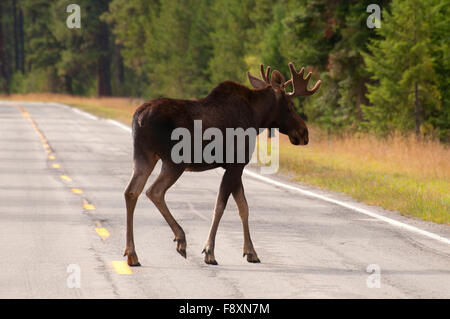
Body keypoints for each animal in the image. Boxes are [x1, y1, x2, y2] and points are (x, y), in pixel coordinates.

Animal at [123, 62, 320, 268]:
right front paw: (209, 251)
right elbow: (220, 206)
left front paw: (251, 252)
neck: (257, 119)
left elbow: (243, 207)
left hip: (144, 155)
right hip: (174, 161)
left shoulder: (235, 167)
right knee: (154, 191)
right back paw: (180, 239)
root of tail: (139, 118)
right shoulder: (236, 164)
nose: (304, 133)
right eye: (290, 106)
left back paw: (132, 253)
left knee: (131, 191)